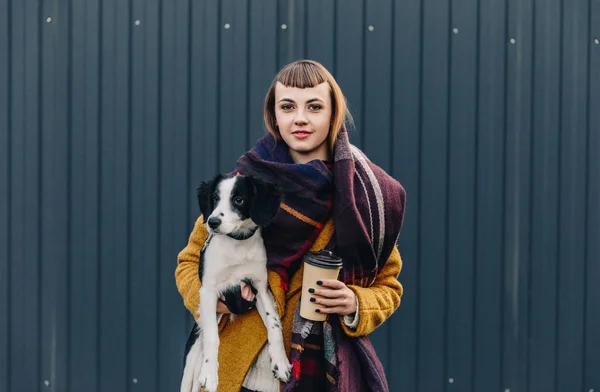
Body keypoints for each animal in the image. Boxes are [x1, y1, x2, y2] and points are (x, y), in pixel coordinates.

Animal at [179, 174, 292, 392]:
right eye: (215, 198)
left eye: (239, 199)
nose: (212, 222)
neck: (237, 245)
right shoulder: (208, 291)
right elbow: (212, 336)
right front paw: (210, 374)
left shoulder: (260, 287)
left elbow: (274, 325)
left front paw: (280, 362)